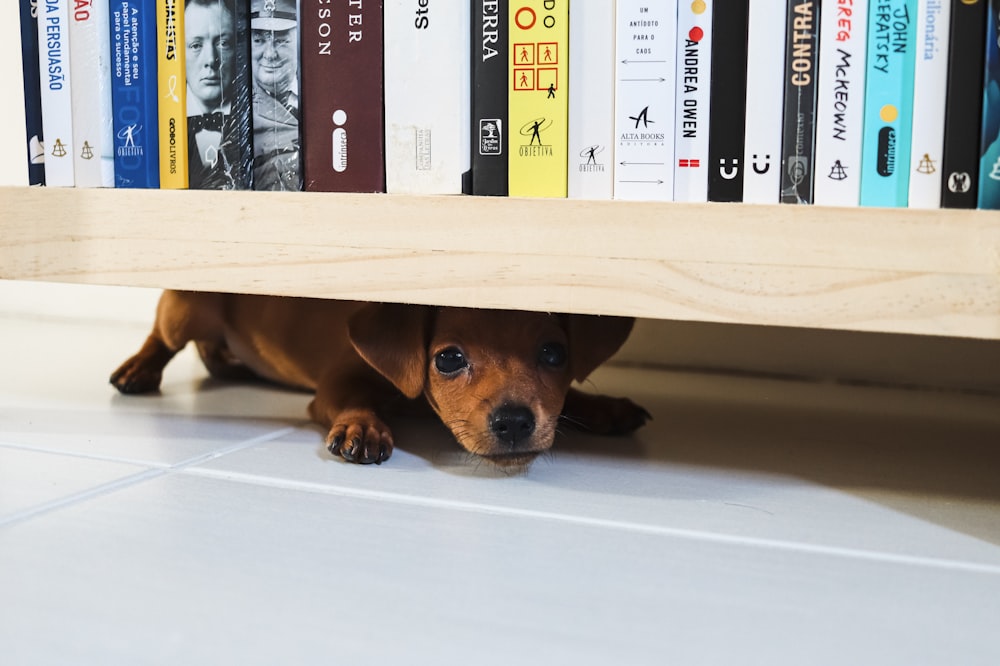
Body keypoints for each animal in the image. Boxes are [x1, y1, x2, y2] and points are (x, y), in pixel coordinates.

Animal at [109, 290, 648, 466]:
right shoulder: (337, 383)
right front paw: (362, 426)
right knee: (161, 333)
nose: (514, 422)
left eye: (554, 353)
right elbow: (353, 402)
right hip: (185, 309)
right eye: (448, 359)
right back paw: (139, 367)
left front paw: (604, 406)